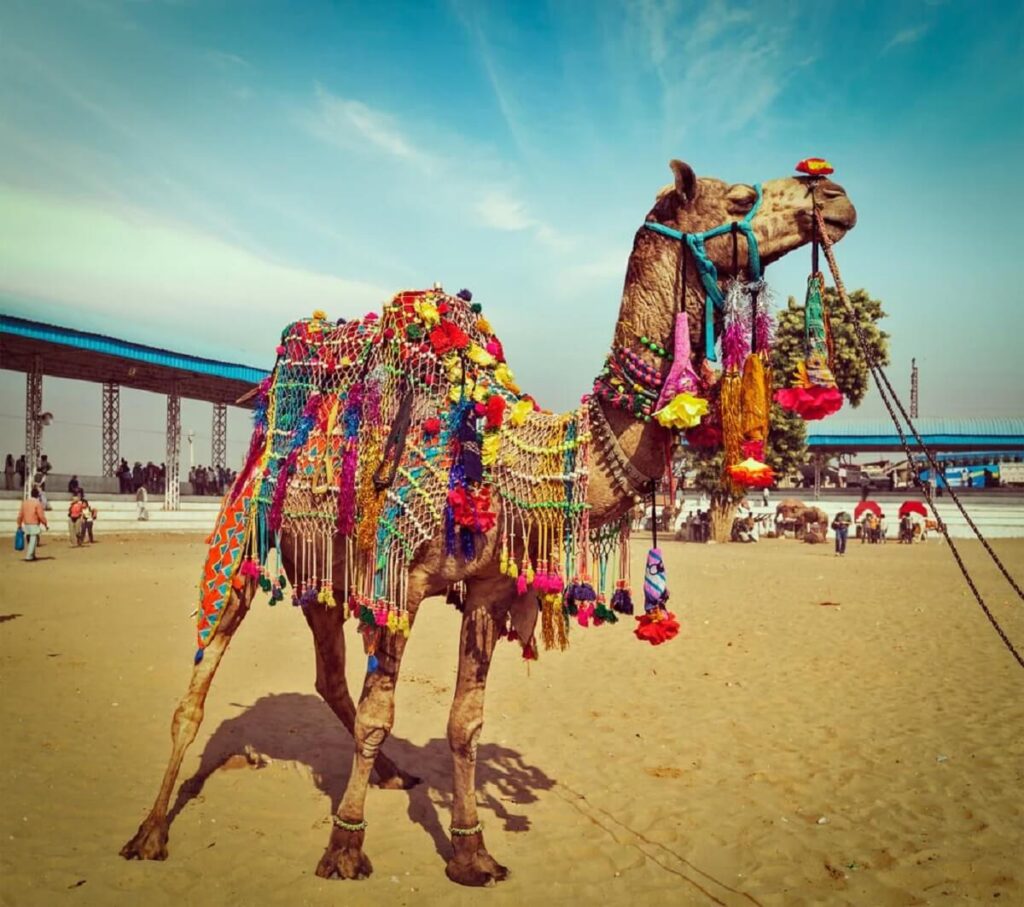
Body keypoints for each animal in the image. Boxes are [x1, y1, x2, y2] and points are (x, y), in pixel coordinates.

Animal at [121, 159, 856, 884]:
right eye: (737, 195)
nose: (833, 193)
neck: (507, 453)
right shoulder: (403, 580)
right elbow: (380, 715)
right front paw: (345, 847)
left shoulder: (487, 588)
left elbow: (463, 721)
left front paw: (472, 851)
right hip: (243, 531)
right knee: (203, 677)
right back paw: (150, 830)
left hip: (323, 572)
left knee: (328, 674)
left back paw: (392, 776)